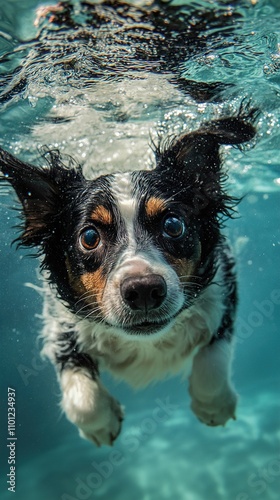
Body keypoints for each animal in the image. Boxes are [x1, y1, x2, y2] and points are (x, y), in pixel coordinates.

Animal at [0, 108, 256, 446]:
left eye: (173, 225)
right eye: (89, 237)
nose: (144, 290)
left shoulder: (225, 286)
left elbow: (214, 354)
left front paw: (213, 404)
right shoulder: (58, 321)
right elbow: (81, 396)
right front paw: (101, 422)